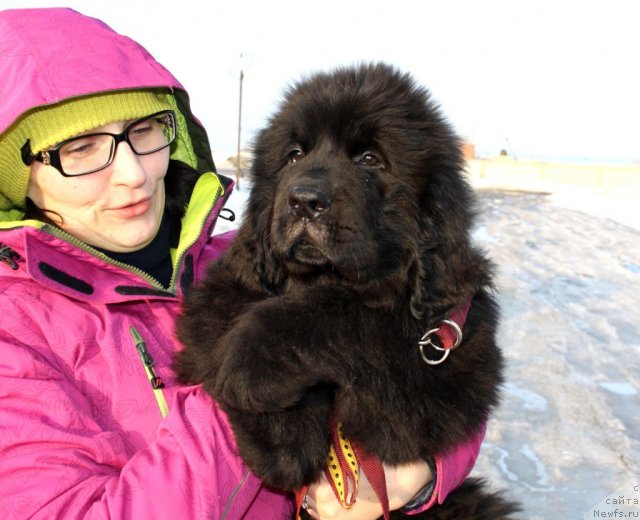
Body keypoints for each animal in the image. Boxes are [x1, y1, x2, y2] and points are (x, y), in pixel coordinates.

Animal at [178, 63, 516, 516]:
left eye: (370, 160)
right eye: (294, 155)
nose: (304, 201)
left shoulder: (442, 360)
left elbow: (347, 312)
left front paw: (249, 364)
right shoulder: (224, 290)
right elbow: (219, 329)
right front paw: (284, 437)